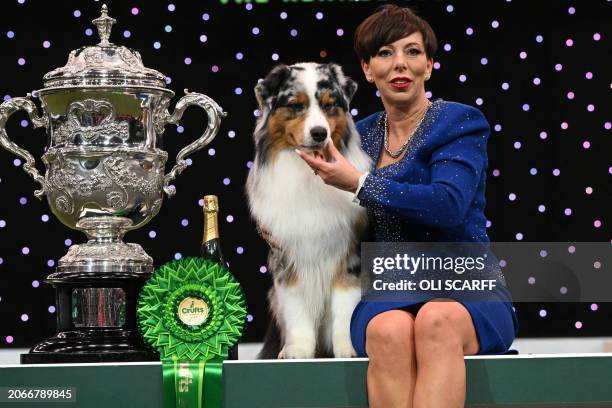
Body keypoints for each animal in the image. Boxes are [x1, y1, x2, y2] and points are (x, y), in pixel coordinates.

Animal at [246, 62, 370, 358]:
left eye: (328, 105)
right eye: (296, 106)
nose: (319, 133)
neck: (308, 175)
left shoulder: (348, 255)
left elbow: (346, 308)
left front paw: (347, 348)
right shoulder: (287, 255)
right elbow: (296, 307)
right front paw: (298, 350)